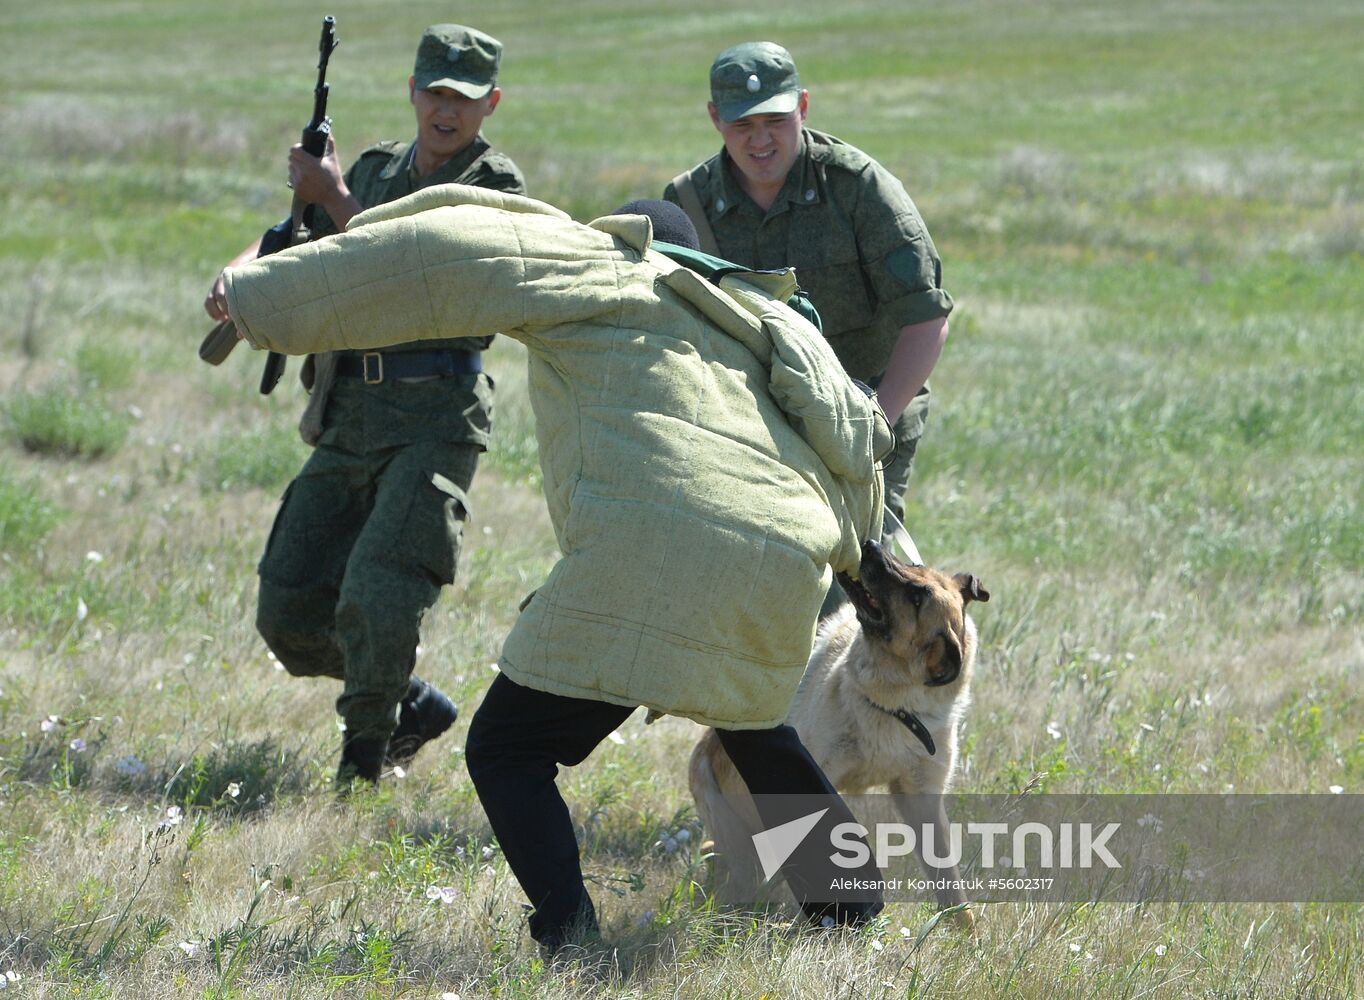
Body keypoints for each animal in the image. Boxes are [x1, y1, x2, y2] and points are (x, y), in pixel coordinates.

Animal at [687, 542, 987, 922]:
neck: (892, 705)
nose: (871, 546)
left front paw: (962, 929)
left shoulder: (921, 797)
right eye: (914, 567)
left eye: (917, 596)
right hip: (736, 841)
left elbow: (948, 878)